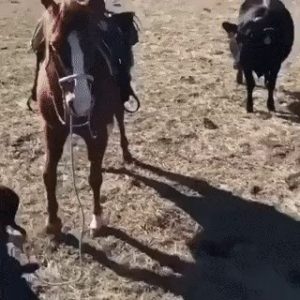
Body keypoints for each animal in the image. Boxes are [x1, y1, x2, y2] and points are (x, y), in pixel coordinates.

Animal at [36, 0, 131, 234]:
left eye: (92, 42)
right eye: (54, 45)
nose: (81, 103)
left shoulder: (97, 134)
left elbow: (95, 178)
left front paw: (97, 219)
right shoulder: (52, 131)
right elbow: (48, 174)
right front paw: (52, 221)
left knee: (121, 122)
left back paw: (126, 153)